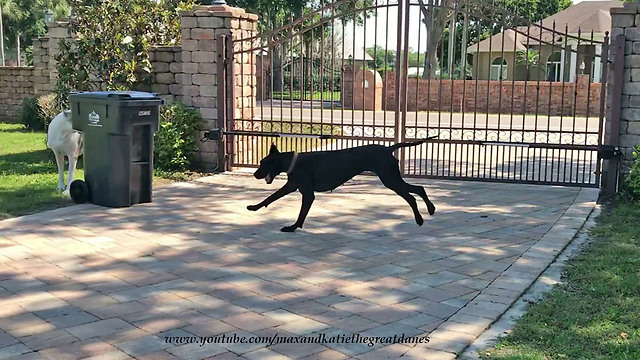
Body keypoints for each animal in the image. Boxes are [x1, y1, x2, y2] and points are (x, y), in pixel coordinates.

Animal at [248, 138, 438, 233]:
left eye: (262, 163)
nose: (255, 174)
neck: (292, 162)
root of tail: (388, 149)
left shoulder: (308, 194)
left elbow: (301, 213)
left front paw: (293, 227)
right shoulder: (291, 186)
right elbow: (270, 197)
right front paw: (254, 207)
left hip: (390, 179)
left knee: (411, 196)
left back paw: (420, 218)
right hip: (391, 178)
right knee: (419, 189)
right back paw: (430, 210)